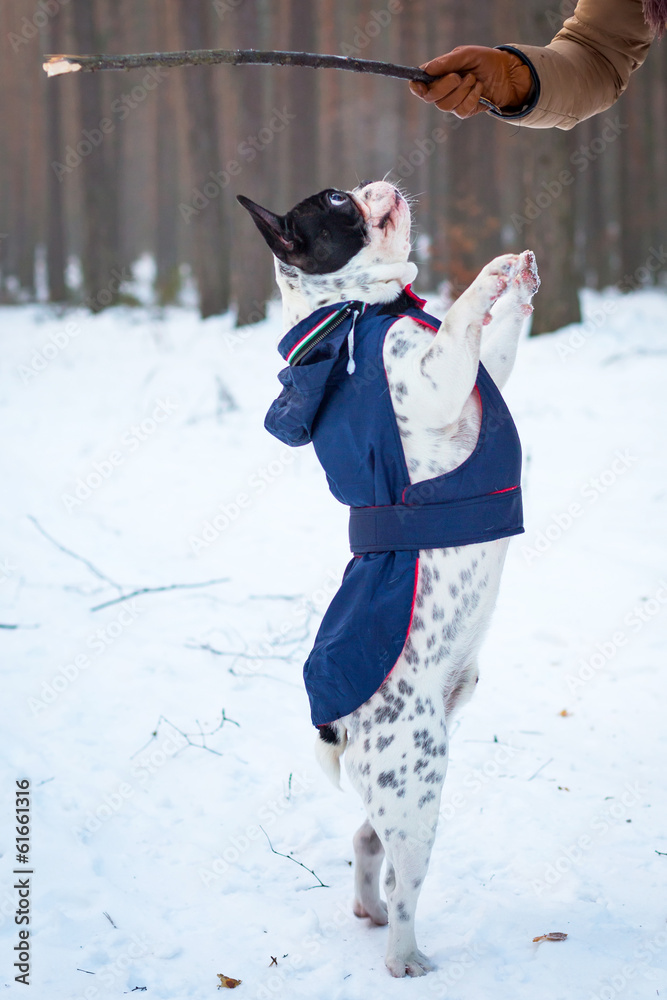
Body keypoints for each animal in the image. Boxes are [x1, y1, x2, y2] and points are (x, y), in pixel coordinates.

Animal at [237, 182, 540, 976]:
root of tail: (338, 723)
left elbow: (493, 344)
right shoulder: (435, 380)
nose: (376, 184)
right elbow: (462, 318)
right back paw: (405, 957)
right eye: (336, 203)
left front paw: (519, 282)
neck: (360, 309)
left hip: (405, 787)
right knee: (406, 878)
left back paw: (367, 911)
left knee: (364, 840)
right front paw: (487, 278)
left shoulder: (478, 374)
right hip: (418, 783)